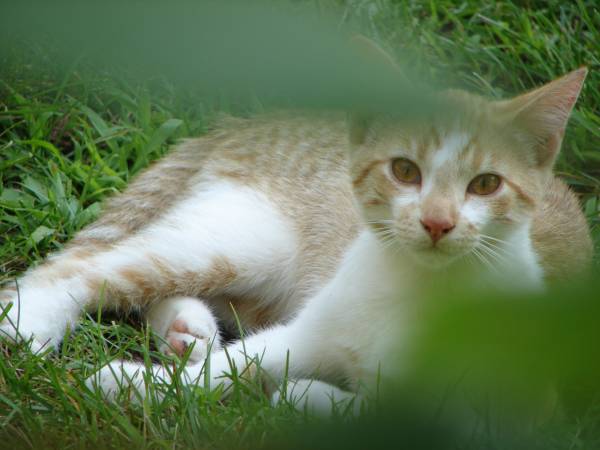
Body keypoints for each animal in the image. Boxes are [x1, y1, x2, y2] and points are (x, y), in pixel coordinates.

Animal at [0, 62, 592, 412]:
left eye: (486, 185)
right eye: (405, 171)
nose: (437, 223)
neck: (419, 290)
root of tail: (247, 122)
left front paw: (308, 397)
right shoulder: (303, 333)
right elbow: (228, 371)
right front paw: (127, 385)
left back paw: (187, 330)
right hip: (239, 243)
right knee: (91, 268)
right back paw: (29, 327)